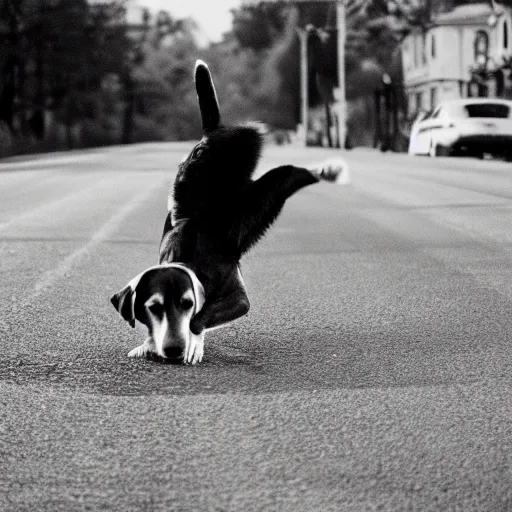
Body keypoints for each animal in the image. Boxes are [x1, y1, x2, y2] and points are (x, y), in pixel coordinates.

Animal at [110, 60, 346, 364]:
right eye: (153, 308)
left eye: (184, 303)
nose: (171, 349)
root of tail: (213, 133)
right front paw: (150, 344)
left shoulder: (238, 300)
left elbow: (198, 319)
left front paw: (191, 344)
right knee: (283, 174)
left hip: (253, 181)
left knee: (290, 172)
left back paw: (328, 169)